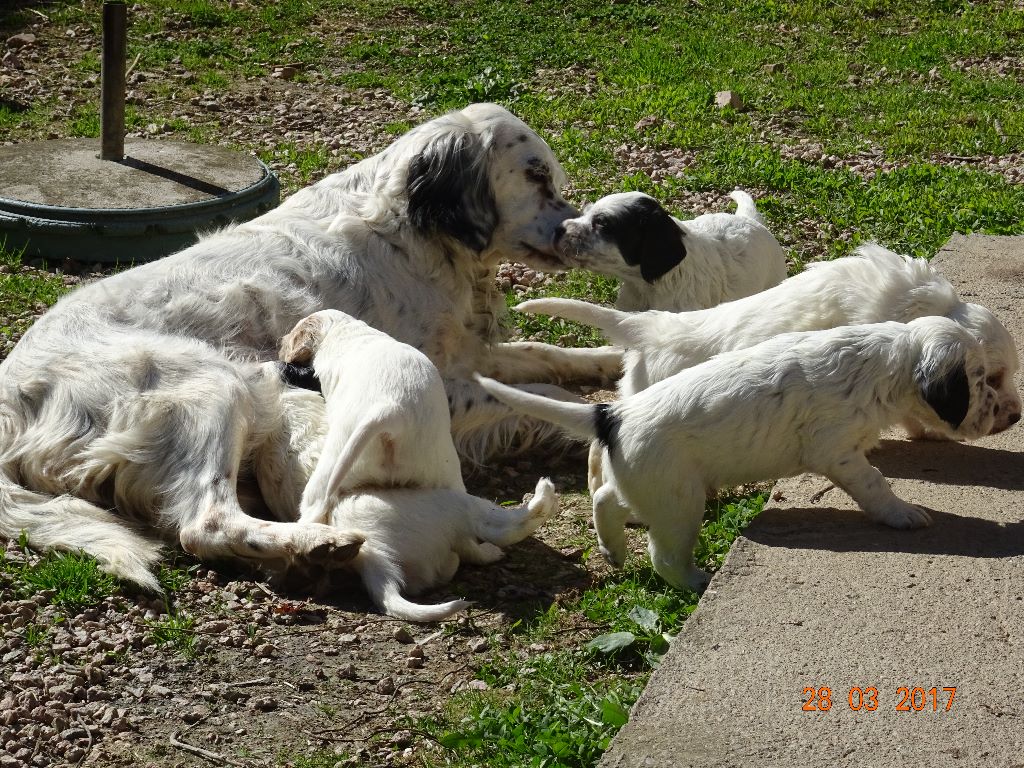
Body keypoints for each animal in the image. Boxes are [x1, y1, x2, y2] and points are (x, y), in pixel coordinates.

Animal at [274, 309, 462, 528]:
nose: (280, 343)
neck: (343, 328)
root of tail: (392, 411)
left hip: (334, 459)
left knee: (314, 508)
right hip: (442, 471)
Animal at [475, 315, 995, 593]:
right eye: (980, 381)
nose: (1001, 414)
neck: (888, 359)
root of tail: (614, 413)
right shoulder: (836, 450)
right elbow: (875, 485)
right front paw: (903, 514)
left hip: (654, 485)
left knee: (606, 500)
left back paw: (613, 550)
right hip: (679, 502)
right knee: (663, 557)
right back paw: (698, 581)